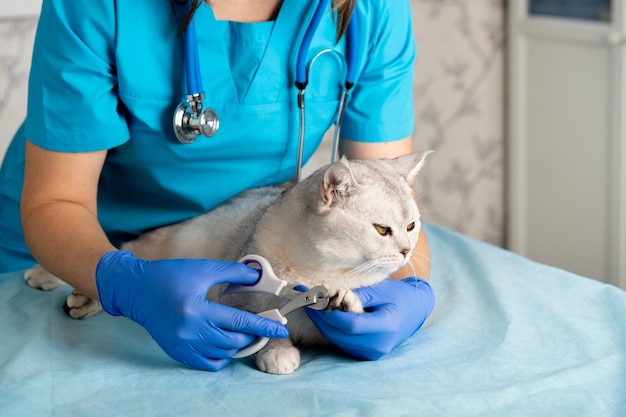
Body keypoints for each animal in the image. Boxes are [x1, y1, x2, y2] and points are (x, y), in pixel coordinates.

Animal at [25, 152, 428, 374]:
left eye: (412, 226)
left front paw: (344, 304)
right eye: (381, 229)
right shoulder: (245, 296)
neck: (320, 271)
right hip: (159, 248)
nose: (406, 251)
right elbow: (268, 326)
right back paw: (56, 283)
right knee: (119, 261)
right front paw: (278, 353)